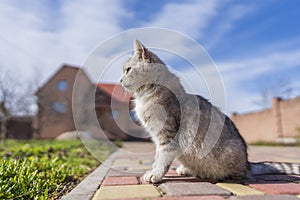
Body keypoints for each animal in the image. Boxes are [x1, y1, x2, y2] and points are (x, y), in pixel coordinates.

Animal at [119, 39, 300, 184]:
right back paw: (185, 169)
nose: (120, 80)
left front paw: (155, 174)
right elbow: (158, 158)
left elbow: (162, 158)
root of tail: (248, 164)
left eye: (127, 69)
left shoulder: (166, 134)